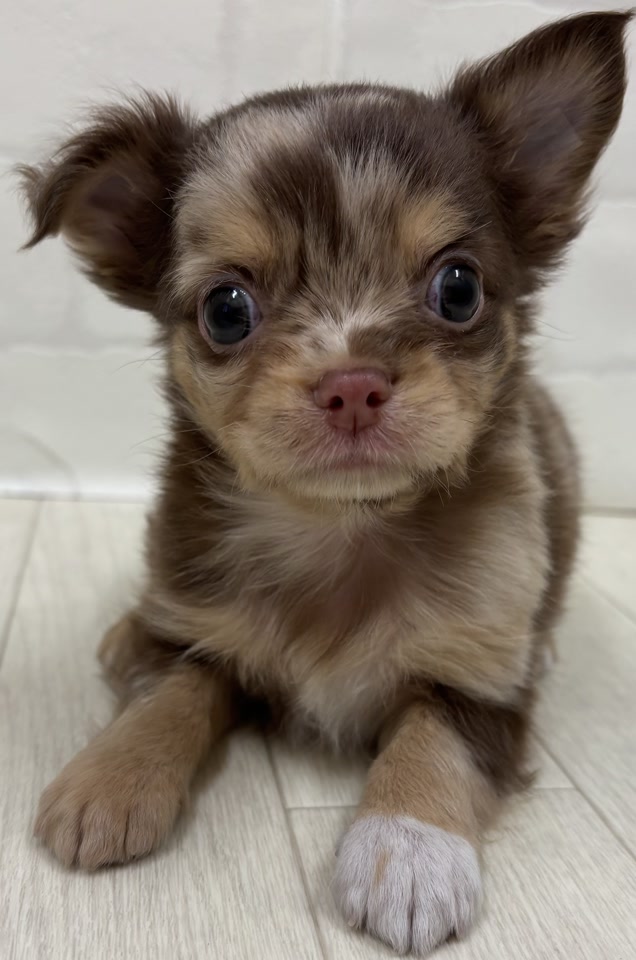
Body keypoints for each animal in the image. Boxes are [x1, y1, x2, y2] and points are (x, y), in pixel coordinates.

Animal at [19, 10, 630, 956]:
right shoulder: (195, 625)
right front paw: (109, 779)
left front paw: (407, 854)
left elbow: (432, 739)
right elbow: (178, 687)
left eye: (459, 288)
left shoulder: (480, 679)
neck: (343, 528)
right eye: (226, 309)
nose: (352, 383)